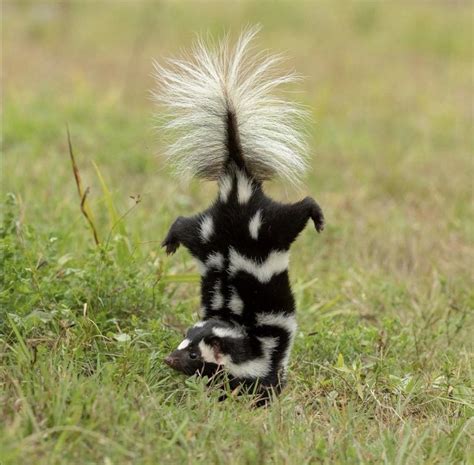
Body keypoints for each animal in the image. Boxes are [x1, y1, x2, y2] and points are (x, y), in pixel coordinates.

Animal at [154, 26, 324, 396]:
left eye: (192, 355)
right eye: (181, 346)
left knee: (300, 208)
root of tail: (236, 185)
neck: (242, 332)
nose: (169, 359)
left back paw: (318, 217)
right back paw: (170, 241)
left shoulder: (269, 355)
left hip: (248, 226)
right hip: (228, 228)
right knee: (184, 223)